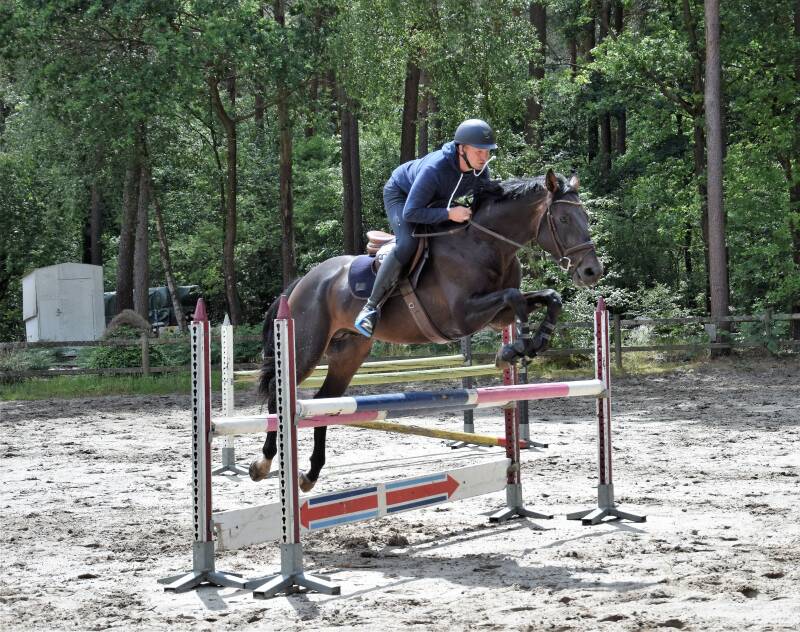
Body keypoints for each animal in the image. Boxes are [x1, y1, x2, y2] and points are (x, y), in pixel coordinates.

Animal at [250, 169, 602, 490]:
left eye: (585, 216)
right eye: (564, 218)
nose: (592, 271)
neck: (486, 243)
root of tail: (301, 283)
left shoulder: (497, 316)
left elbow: (548, 297)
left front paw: (530, 344)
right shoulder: (462, 316)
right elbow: (514, 296)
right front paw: (515, 348)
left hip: (348, 352)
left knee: (325, 401)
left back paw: (310, 473)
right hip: (305, 347)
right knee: (279, 397)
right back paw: (263, 462)